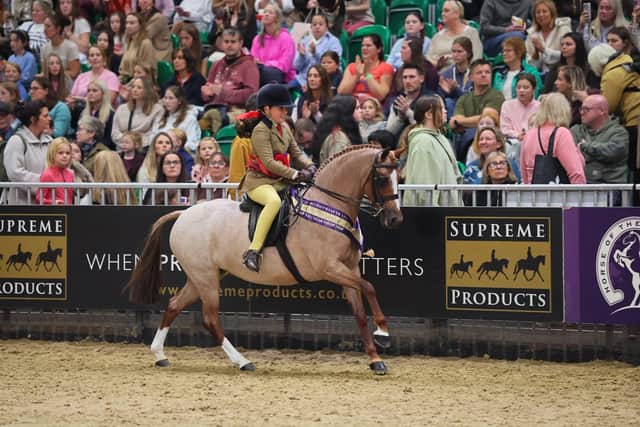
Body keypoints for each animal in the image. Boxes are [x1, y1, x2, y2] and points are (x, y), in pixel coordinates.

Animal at [126, 146, 403, 374]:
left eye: (398, 177)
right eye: (381, 179)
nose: (395, 219)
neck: (329, 205)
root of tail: (183, 213)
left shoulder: (349, 269)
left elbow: (360, 313)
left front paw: (375, 359)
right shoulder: (330, 268)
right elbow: (370, 287)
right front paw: (383, 332)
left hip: (202, 277)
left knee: (174, 305)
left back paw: (160, 355)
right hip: (205, 278)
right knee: (210, 319)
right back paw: (243, 361)